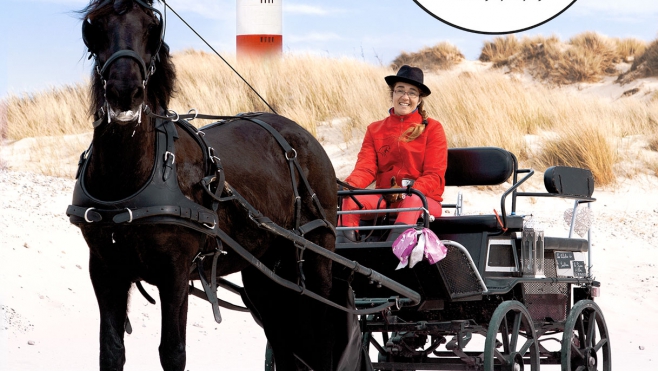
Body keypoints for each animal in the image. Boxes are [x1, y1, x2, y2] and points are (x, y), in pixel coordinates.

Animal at [70, 1, 348, 370]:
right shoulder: (104, 268)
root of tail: (304, 137)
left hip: (317, 251)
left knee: (323, 334)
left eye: (151, 28)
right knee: (282, 340)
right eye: (95, 27)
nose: (124, 92)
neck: (129, 178)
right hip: (265, 273)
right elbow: (111, 351)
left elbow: (173, 352)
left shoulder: (174, 271)